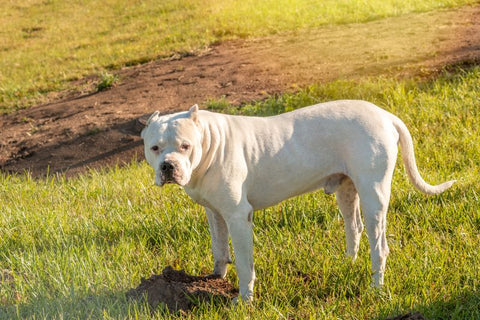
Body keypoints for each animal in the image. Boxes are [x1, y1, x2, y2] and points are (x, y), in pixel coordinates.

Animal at [142, 100, 454, 302]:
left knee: (379, 246)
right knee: (354, 228)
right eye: (154, 147)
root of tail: (385, 115)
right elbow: (219, 250)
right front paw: (214, 281)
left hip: (373, 194)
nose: (168, 166)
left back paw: (376, 289)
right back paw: (348, 264)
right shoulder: (215, 213)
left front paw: (244, 300)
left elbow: (244, 263)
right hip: (347, 190)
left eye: (185, 146)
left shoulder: (239, 217)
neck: (209, 141)